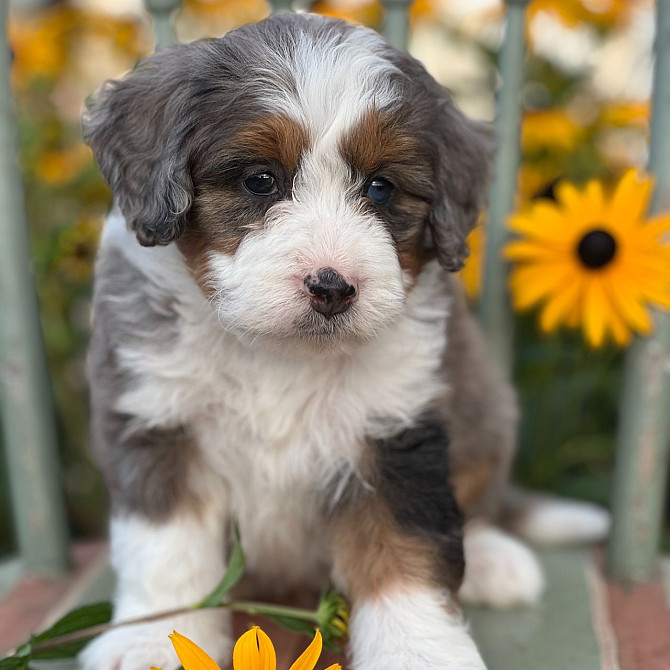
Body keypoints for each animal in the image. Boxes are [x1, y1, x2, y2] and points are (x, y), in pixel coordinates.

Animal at [80, 13, 540, 670]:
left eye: (380, 188)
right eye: (259, 180)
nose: (332, 287)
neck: (279, 353)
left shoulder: (392, 431)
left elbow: (404, 552)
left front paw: (419, 650)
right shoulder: (157, 422)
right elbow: (166, 553)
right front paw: (153, 640)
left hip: (485, 411)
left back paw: (494, 561)